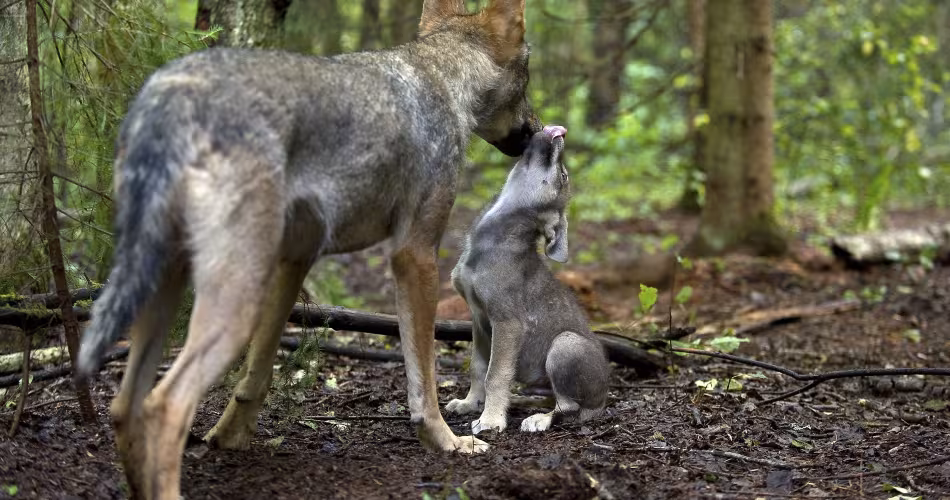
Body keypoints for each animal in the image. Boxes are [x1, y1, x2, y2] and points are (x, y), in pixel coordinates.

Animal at [75, 0, 541, 498]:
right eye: (528, 79)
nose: (535, 131)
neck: (440, 76)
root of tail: (168, 97)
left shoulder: (294, 258)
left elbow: (256, 375)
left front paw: (230, 437)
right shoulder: (414, 255)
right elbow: (424, 379)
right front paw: (447, 442)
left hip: (164, 287)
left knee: (124, 407)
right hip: (231, 302)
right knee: (164, 406)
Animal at [446, 125, 610, 435]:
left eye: (563, 176)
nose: (563, 133)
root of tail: (603, 401)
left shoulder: (506, 322)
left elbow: (495, 374)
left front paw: (490, 419)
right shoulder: (478, 318)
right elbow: (477, 368)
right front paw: (470, 403)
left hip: (564, 344)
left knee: (568, 407)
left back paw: (539, 419)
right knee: (552, 398)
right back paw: (521, 402)